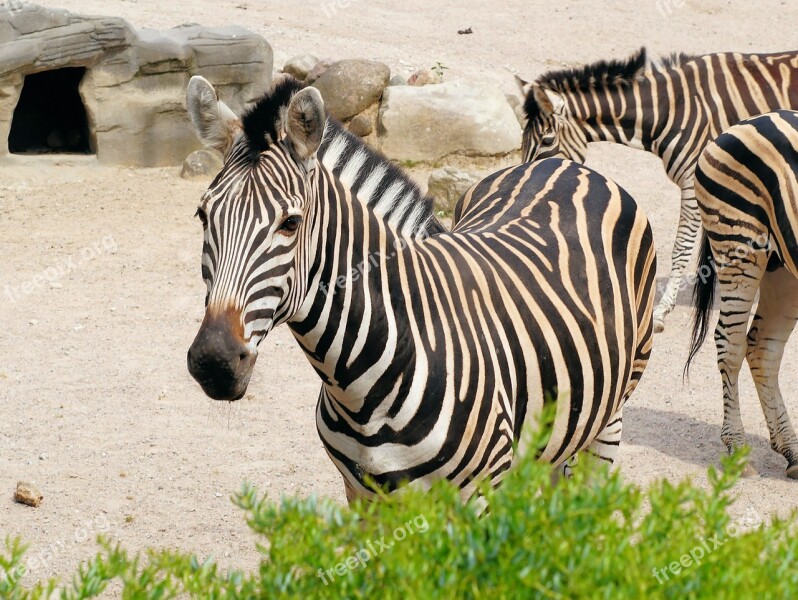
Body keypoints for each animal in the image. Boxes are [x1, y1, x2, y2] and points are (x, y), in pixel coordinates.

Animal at [184, 74, 660, 502]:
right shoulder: (363, 496)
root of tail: (562, 164)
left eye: (290, 223)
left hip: (612, 414)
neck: (358, 387)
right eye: (203, 215)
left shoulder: (476, 499)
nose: (214, 362)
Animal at [520, 48, 798, 332]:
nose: (528, 178)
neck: (674, 107)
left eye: (547, 140)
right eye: (523, 140)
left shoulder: (692, 180)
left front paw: (663, 309)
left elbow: (681, 247)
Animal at [684, 109, 798, 478]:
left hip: (782, 268)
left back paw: (792, 451)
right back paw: (738, 450)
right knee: (730, 343)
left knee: (763, 349)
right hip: (738, 243)